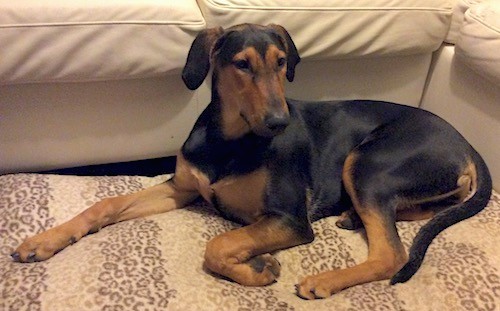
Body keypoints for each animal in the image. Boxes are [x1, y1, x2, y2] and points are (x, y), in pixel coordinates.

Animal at [11, 23, 492, 302]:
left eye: (282, 63)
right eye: (241, 64)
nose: (280, 121)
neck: (229, 140)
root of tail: (468, 144)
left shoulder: (289, 219)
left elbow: (219, 244)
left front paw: (259, 269)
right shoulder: (180, 187)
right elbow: (105, 205)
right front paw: (45, 240)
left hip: (368, 163)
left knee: (392, 253)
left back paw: (325, 280)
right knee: (418, 212)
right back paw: (354, 218)